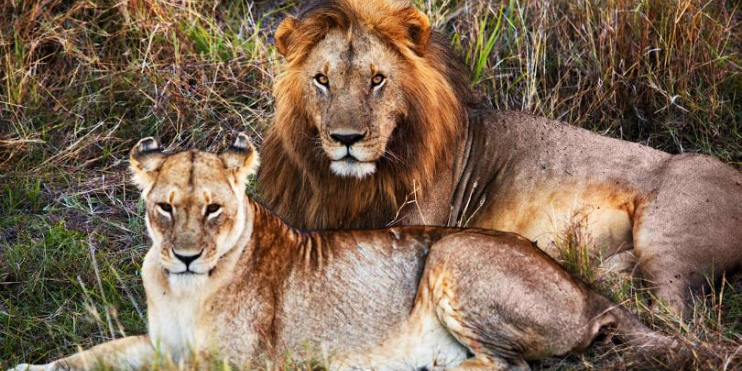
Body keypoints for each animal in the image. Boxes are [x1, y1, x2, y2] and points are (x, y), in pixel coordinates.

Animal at [10, 135, 676, 370]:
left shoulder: (241, 363)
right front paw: (32, 368)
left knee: (506, 366)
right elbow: (93, 354)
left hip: (451, 252)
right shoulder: (158, 342)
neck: (182, 288)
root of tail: (592, 294)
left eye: (214, 209)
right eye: (166, 208)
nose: (187, 256)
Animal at [258, 0, 742, 316]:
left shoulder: (413, 225)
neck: (345, 183)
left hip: (667, 233)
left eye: (377, 80)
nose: (346, 139)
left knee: (675, 315)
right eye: (321, 79)